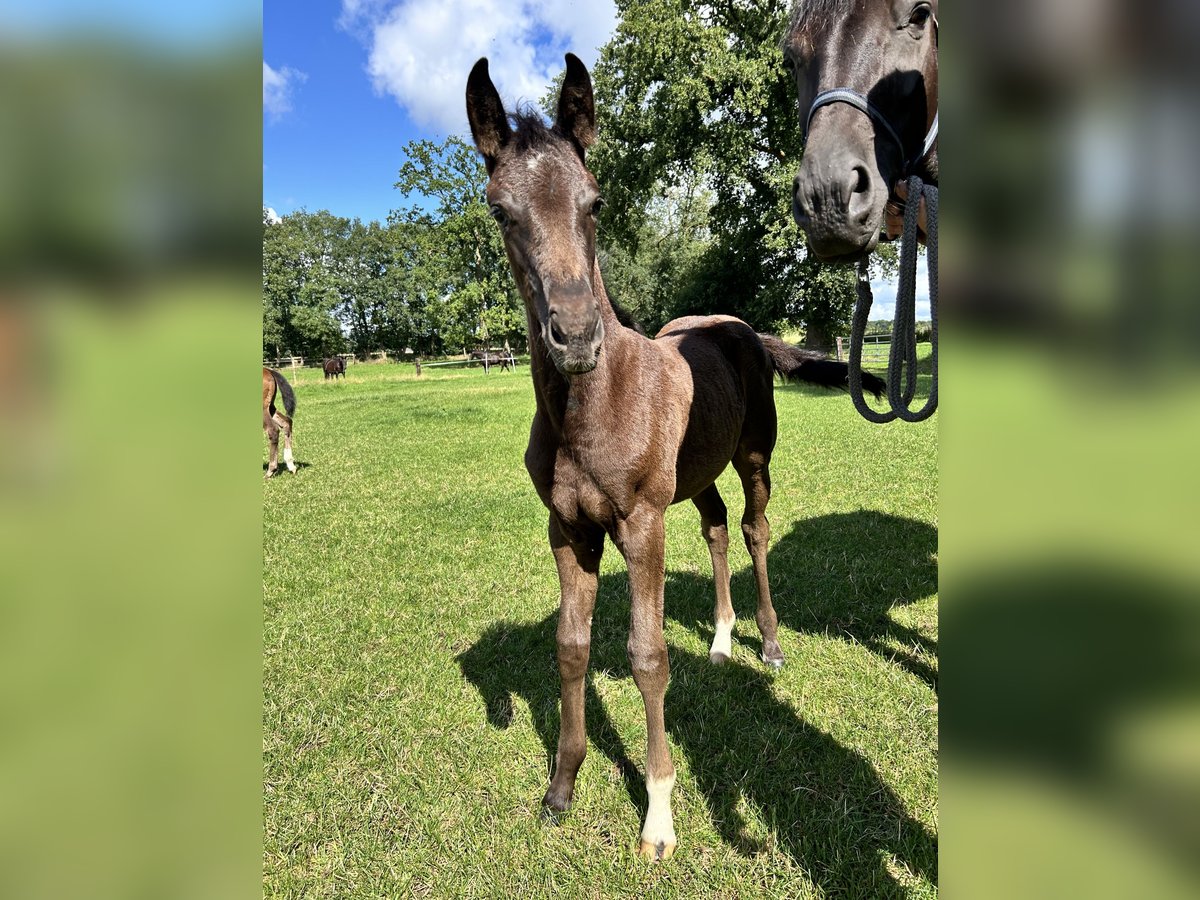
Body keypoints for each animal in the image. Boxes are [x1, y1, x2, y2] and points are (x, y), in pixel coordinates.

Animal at [463, 52, 888, 864]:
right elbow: (571, 646)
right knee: (717, 527)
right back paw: (720, 642)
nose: (576, 336)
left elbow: (647, 655)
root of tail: (740, 328)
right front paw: (561, 787)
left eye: (595, 202)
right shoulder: (569, 529)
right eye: (501, 210)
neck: (590, 408)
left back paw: (768, 643)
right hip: (696, 477)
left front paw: (658, 817)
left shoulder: (640, 524)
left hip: (751, 457)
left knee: (753, 531)